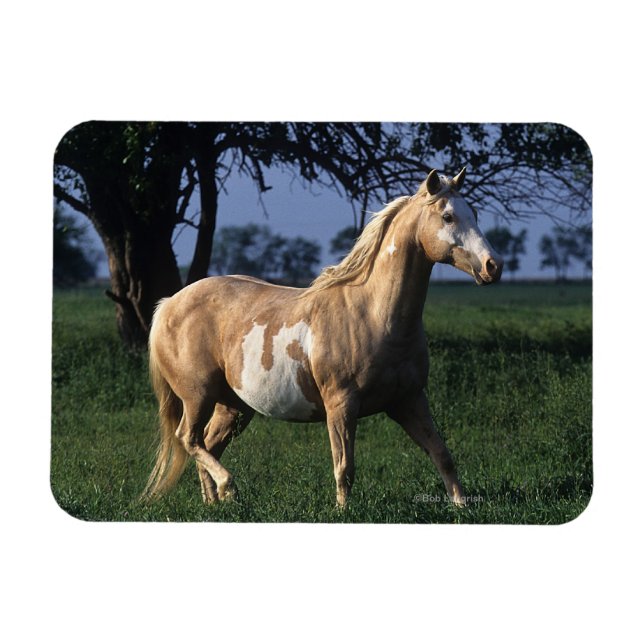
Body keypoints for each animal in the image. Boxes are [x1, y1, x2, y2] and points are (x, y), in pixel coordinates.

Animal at [142, 167, 503, 508]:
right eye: (448, 216)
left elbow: (442, 454)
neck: (373, 315)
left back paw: (215, 502)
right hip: (197, 395)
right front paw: (342, 512)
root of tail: (169, 304)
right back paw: (228, 487)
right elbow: (344, 467)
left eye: (474, 212)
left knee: (207, 444)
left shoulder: (409, 400)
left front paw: (460, 506)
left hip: (233, 406)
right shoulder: (341, 404)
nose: (493, 265)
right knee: (189, 438)